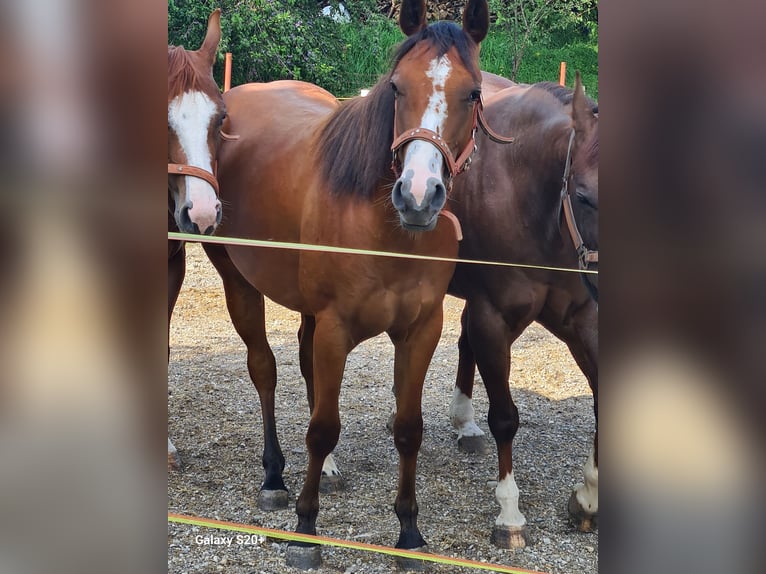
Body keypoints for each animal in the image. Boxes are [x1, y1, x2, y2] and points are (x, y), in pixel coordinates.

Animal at [210, 0, 496, 568]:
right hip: (238, 282)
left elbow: (408, 428)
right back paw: (274, 477)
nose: (418, 195)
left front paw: (409, 532)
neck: (385, 230)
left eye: (473, 93)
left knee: (302, 365)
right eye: (396, 87)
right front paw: (305, 530)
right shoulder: (336, 327)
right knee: (264, 370)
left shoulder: (421, 330)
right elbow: (322, 428)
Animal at [448, 74, 604, 548]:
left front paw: (588, 497)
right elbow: (504, 418)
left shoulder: (582, 319)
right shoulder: (494, 317)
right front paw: (509, 513)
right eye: (585, 197)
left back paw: (464, 424)